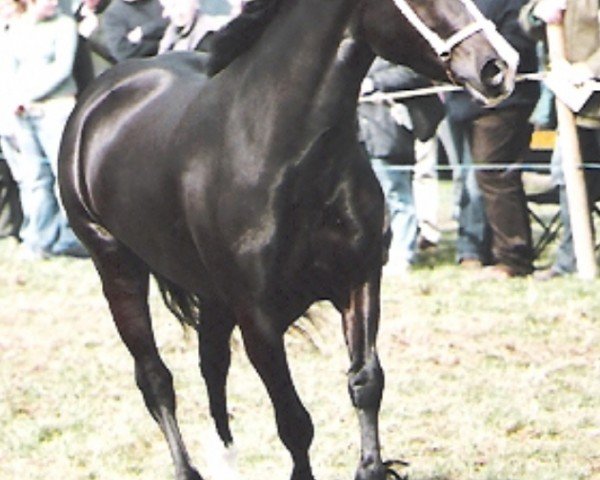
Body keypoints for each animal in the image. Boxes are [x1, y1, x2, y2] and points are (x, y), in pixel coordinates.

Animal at [59, 0, 516, 480]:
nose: (496, 67)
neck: (280, 150)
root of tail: (97, 98)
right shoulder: (258, 315)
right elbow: (294, 421)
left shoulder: (359, 280)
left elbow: (365, 382)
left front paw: (371, 466)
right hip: (118, 269)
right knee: (155, 379)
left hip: (212, 294)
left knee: (212, 365)